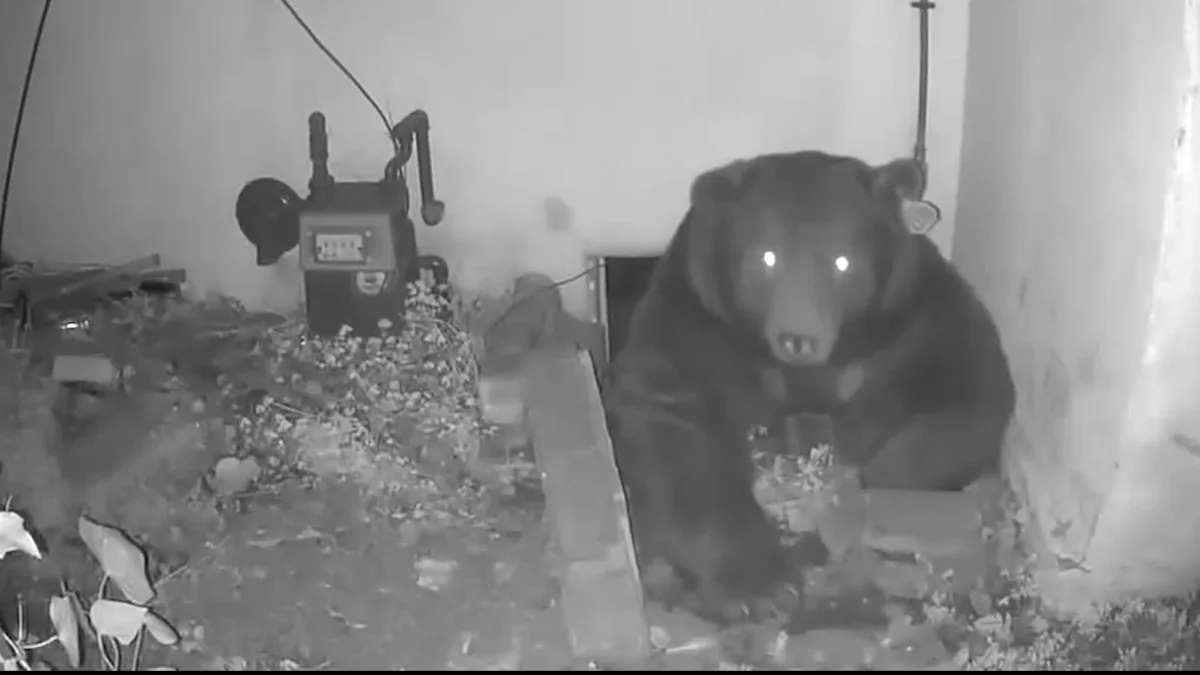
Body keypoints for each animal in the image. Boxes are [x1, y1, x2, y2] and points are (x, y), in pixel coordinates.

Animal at [602, 149, 1016, 626]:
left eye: (842, 262)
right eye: (766, 258)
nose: (799, 338)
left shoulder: (909, 321)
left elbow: (969, 394)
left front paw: (851, 503)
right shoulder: (697, 319)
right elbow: (672, 418)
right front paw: (759, 585)